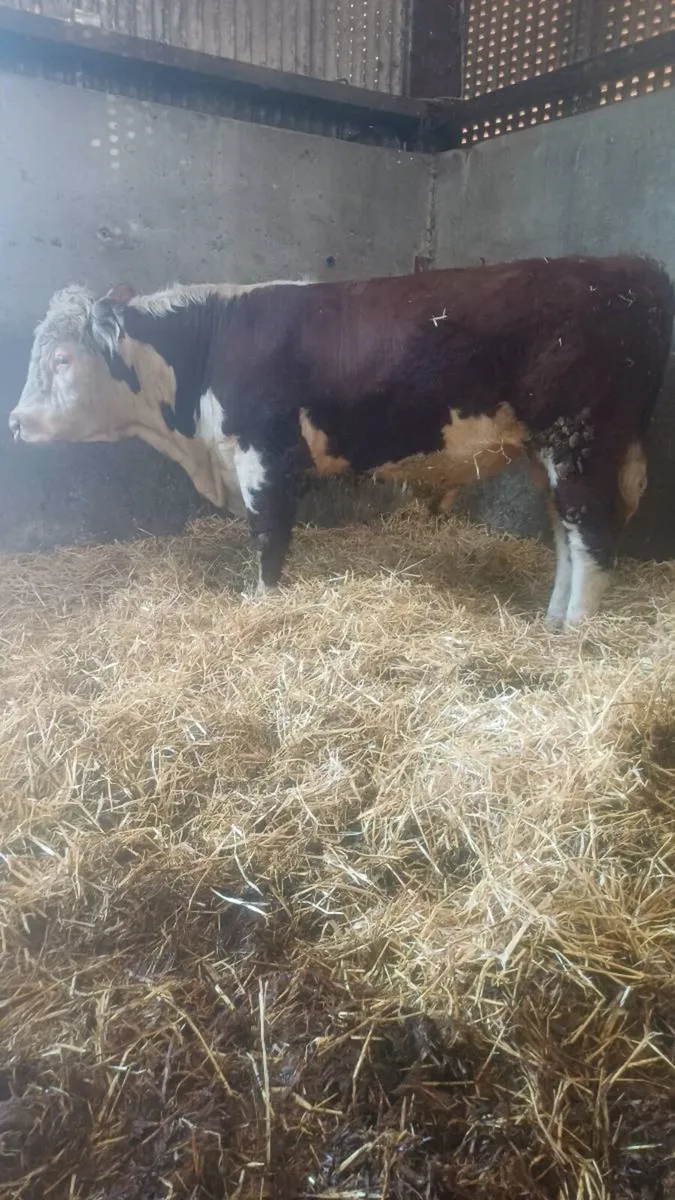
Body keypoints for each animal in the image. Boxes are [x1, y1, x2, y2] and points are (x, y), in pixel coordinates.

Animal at [9, 256, 674, 628]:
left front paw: (262, 603)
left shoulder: (265, 455)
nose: (15, 422)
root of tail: (630, 267)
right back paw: (552, 622)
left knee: (592, 533)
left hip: (582, 437)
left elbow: (268, 536)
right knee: (565, 532)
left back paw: (576, 634)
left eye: (63, 358)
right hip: (548, 450)